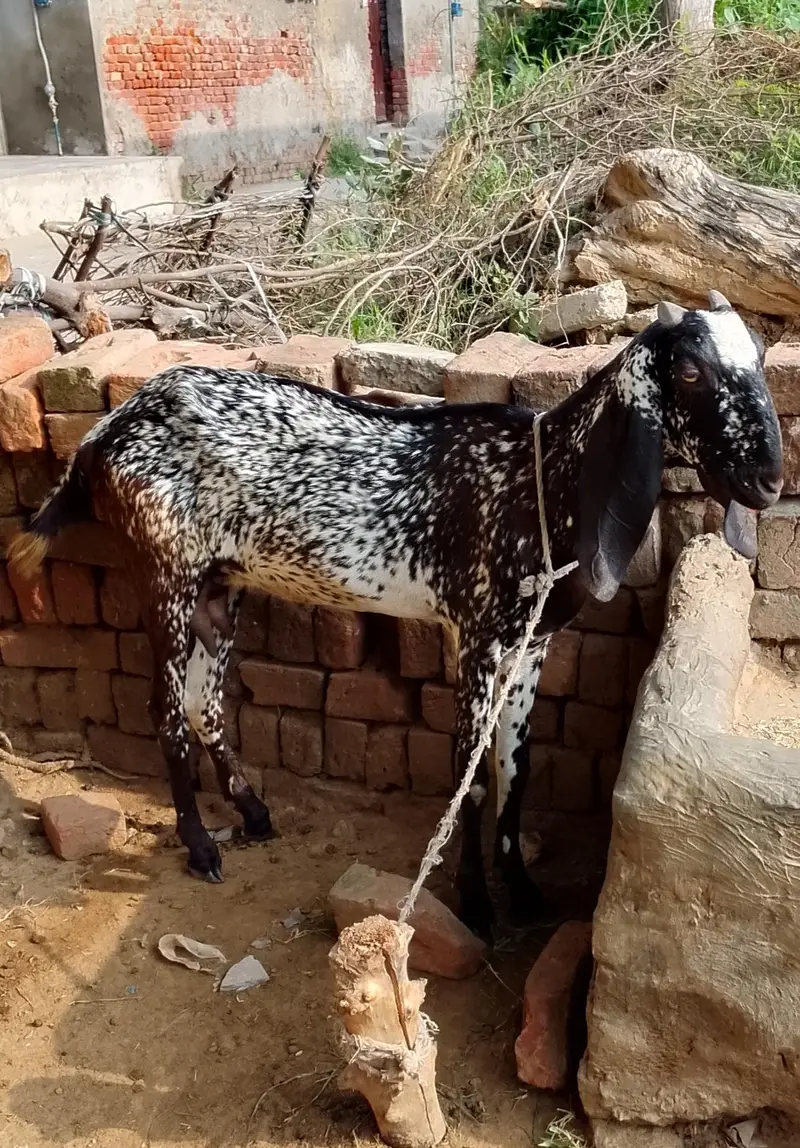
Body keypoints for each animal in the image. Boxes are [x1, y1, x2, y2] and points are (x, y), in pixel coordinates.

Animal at [9, 292, 783, 940]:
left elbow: (516, 770)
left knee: (205, 704)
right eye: (690, 373)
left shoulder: (529, 647)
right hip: (165, 573)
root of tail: (105, 431)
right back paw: (201, 848)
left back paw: (254, 813)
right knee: (167, 711)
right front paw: (476, 906)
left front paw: (525, 895)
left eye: (758, 359)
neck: (538, 481)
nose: (768, 480)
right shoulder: (475, 637)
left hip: (217, 588)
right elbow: (470, 778)